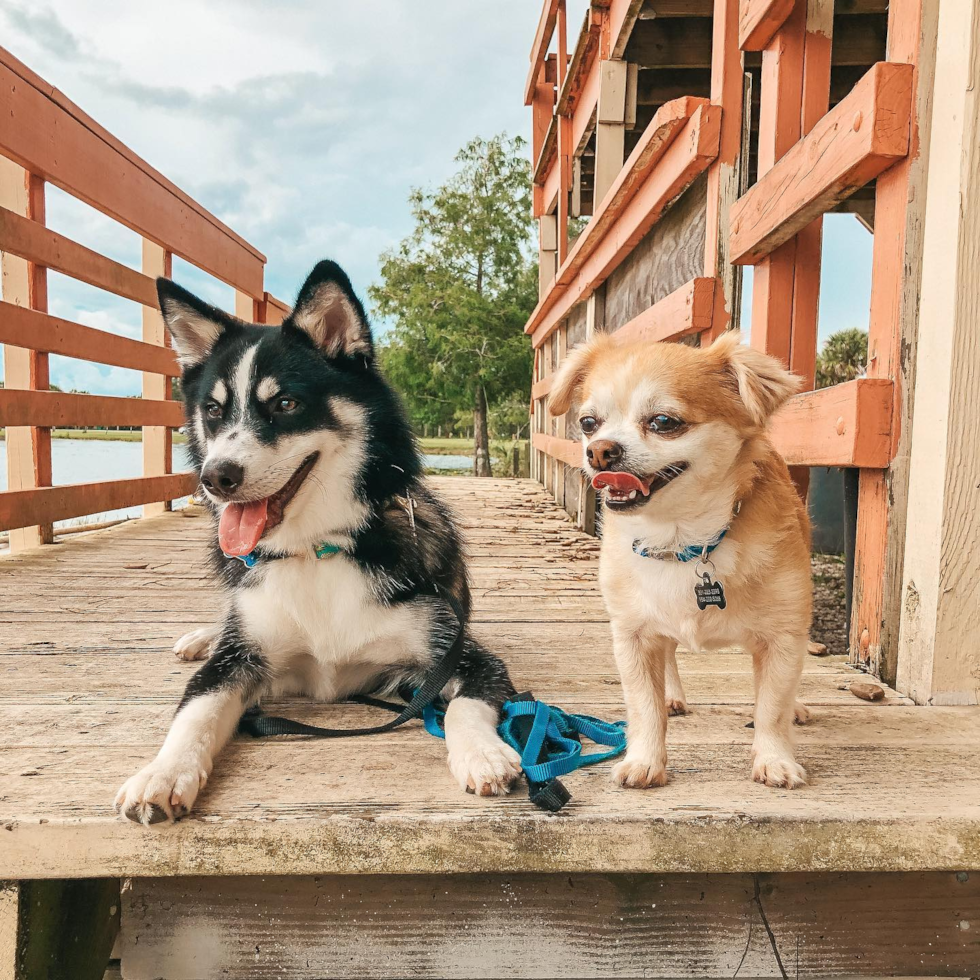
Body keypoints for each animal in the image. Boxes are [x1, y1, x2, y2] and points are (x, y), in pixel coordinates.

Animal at [117, 262, 520, 828]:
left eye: (286, 403)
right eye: (214, 410)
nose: (216, 477)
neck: (319, 549)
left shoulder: (459, 657)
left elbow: (465, 703)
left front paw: (483, 754)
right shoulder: (238, 663)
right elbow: (196, 707)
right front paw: (163, 771)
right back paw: (202, 635)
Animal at [552, 334, 812, 792]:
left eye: (662, 422)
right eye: (588, 423)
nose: (599, 451)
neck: (683, 540)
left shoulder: (783, 638)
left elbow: (772, 708)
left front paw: (775, 759)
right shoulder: (634, 636)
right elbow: (644, 706)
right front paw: (645, 760)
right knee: (669, 653)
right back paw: (671, 694)